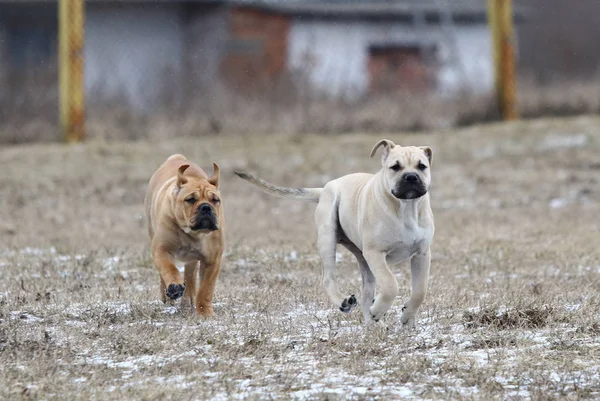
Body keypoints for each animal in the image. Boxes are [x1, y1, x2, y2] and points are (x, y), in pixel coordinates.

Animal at [145, 154, 225, 316]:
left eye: (215, 200)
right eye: (190, 199)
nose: (206, 207)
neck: (192, 233)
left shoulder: (212, 260)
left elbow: (206, 288)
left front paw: (205, 313)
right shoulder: (161, 248)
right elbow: (169, 268)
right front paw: (175, 286)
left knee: (190, 274)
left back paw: (188, 299)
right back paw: (167, 295)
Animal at [236, 139, 436, 326]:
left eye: (422, 166)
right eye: (395, 167)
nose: (411, 177)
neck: (406, 208)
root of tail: (325, 188)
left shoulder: (422, 254)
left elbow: (420, 291)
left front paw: (407, 317)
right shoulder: (375, 253)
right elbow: (390, 283)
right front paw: (378, 310)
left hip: (363, 260)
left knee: (366, 294)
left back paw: (372, 325)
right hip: (328, 238)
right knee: (328, 278)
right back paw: (345, 302)